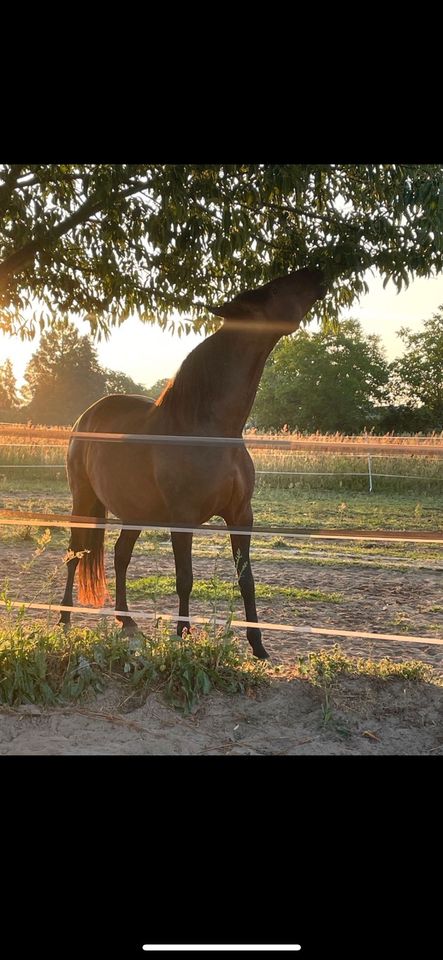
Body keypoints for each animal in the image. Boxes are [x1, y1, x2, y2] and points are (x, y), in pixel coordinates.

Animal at [59, 270, 326, 660]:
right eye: (274, 288)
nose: (318, 274)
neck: (211, 429)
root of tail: (87, 415)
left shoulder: (241, 516)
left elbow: (246, 578)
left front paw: (258, 645)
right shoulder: (182, 519)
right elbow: (184, 578)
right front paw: (182, 635)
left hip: (135, 510)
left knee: (121, 555)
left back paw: (127, 621)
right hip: (84, 500)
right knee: (75, 553)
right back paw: (63, 617)